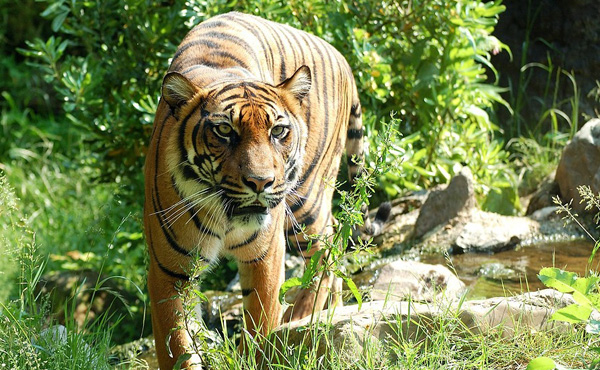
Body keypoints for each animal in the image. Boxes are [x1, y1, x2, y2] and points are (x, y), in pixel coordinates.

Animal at [144, 11, 390, 370]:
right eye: (223, 130)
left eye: (278, 131)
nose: (260, 182)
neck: (225, 217)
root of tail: (342, 57)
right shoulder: (168, 271)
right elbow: (175, 346)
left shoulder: (265, 255)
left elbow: (261, 323)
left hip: (305, 200)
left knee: (325, 250)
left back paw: (302, 317)